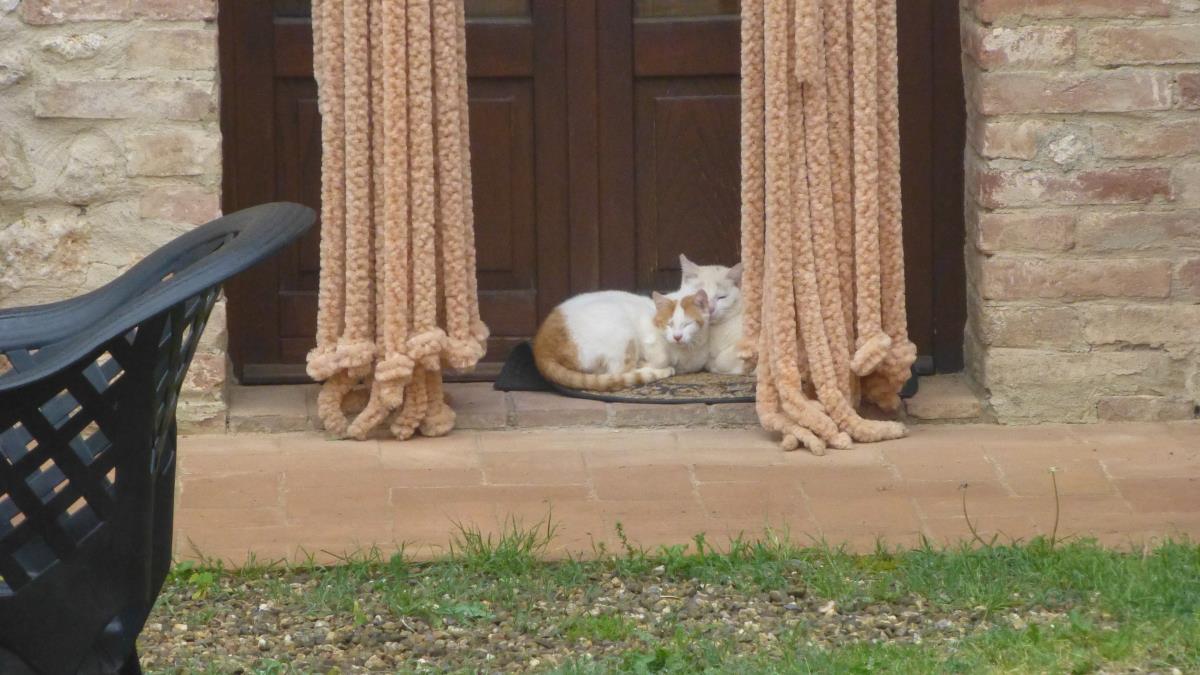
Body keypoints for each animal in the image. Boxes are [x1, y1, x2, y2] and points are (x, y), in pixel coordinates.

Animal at [535, 288, 710, 391]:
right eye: (669, 324)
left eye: (687, 324)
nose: (677, 336)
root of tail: (541, 348)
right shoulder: (646, 331)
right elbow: (661, 357)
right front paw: (652, 363)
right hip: (622, 332)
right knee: (620, 372)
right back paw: (659, 370)